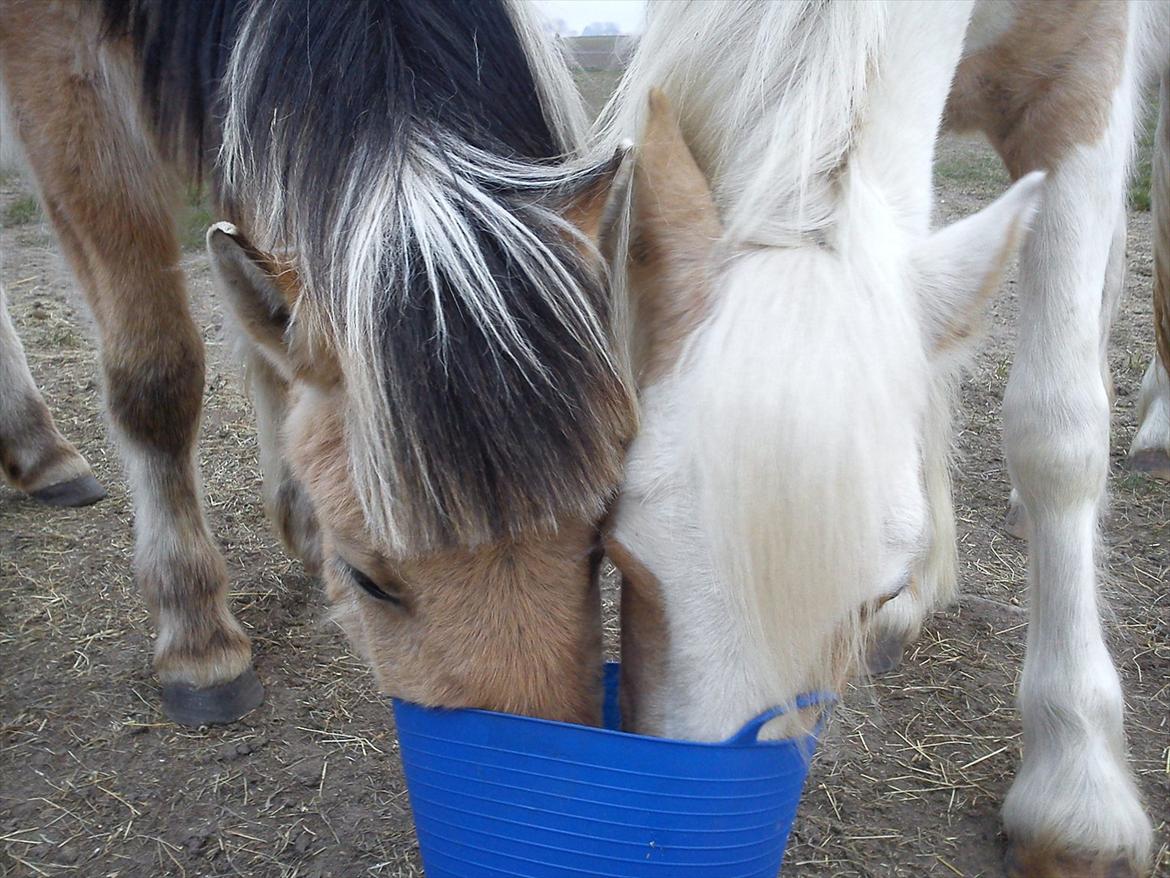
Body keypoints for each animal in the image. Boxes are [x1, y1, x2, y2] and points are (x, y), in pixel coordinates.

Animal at [2, 0, 631, 730]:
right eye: (365, 580)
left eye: (599, 543)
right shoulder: (60, 73)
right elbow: (157, 376)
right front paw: (196, 635)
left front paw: (299, 519)